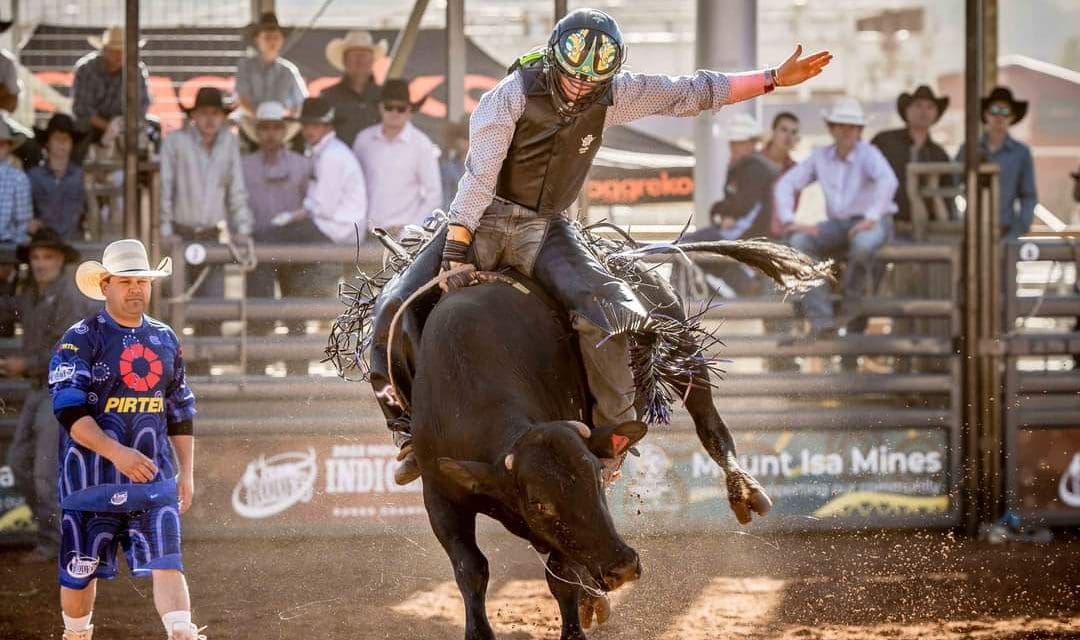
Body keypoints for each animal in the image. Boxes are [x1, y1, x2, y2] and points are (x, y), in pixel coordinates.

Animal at [324, 221, 829, 638]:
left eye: (593, 484)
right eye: (540, 503)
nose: (622, 568)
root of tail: (625, 251)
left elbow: (560, 576)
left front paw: (580, 611)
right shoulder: (441, 494)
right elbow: (471, 569)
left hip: (682, 347)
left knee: (711, 425)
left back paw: (744, 490)